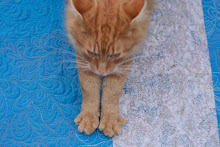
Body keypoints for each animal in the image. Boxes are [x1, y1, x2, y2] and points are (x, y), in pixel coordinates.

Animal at [66, 0, 154, 138]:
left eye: (115, 55)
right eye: (92, 52)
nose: (102, 72)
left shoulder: (124, 60)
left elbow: (112, 92)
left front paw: (109, 120)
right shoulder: (83, 56)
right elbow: (89, 87)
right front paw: (88, 116)